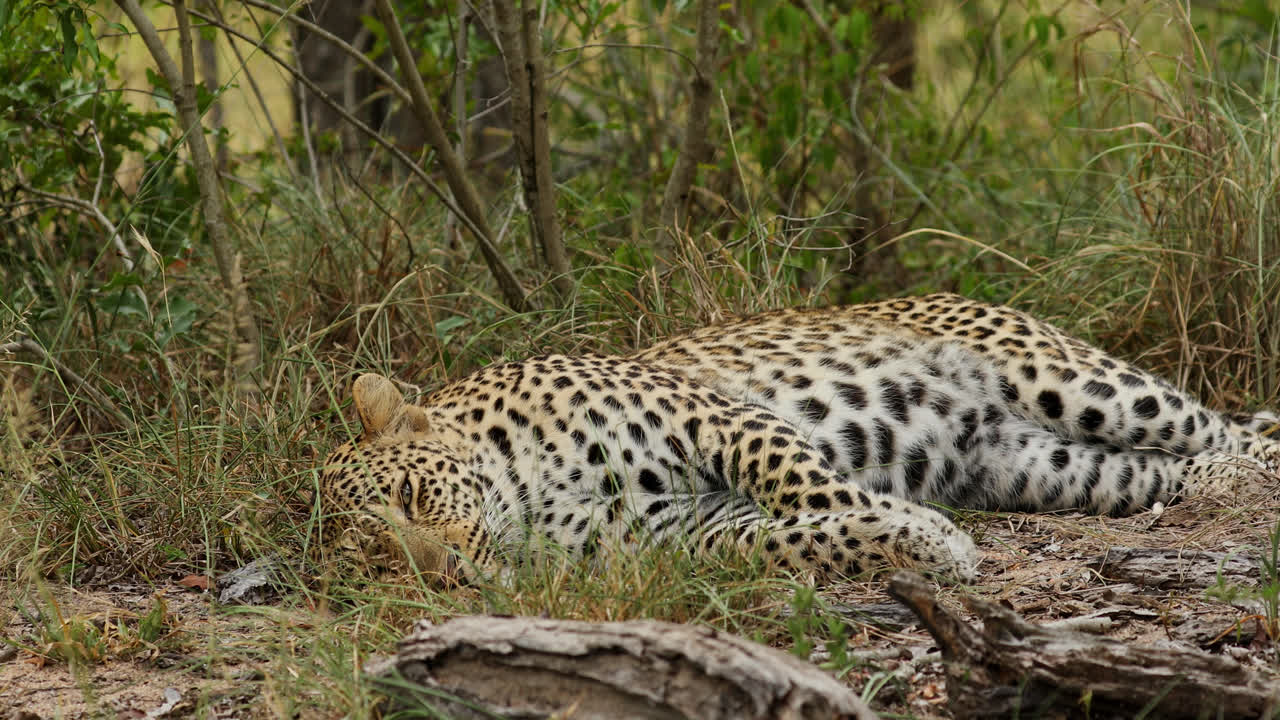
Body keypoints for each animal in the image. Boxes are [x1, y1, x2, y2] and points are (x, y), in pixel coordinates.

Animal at [316, 293, 1279, 585]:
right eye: (383, 564)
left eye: (411, 497)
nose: (446, 572)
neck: (525, 497)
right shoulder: (683, 533)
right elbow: (796, 537)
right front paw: (915, 543)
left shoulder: (713, 416)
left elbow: (810, 483)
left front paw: (927, 536)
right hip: (1043, 466)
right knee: (1176, 465)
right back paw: (1220, 486)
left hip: (1072, 382)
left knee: (1227, 424)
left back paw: (1251, 469)